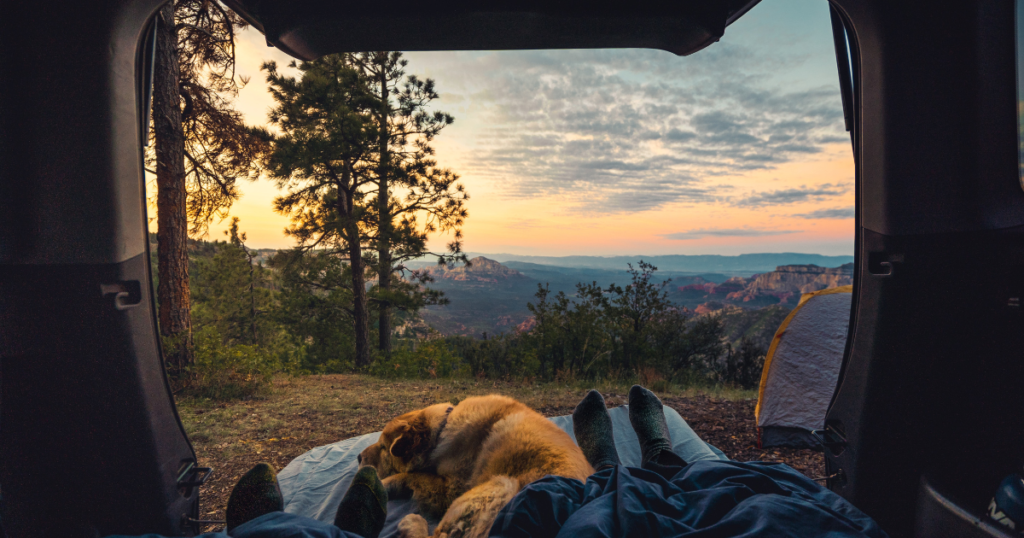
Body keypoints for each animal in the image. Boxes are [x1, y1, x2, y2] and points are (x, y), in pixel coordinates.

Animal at [358, 393, 593, 536]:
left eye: (383, 447)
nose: (358, 457)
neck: (443, 428)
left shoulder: (450, 490)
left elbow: (410, 475)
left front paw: (383, 483)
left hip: (498, 485)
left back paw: (412, 523)